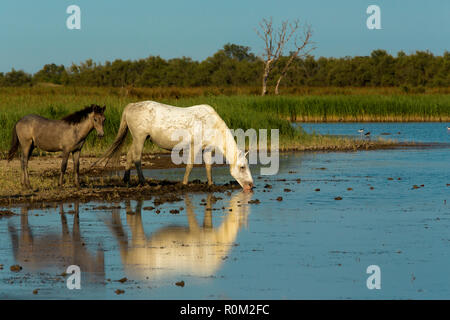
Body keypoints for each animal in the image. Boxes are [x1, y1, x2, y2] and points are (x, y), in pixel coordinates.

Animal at [96, 100, 253, 190]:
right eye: (242, 167)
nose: (251, 185)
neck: (210, 123)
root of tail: (131, 106)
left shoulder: (207, 149)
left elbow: (208, 167)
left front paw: (210, 184)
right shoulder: (195, 147)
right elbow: (189, 166)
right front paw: (184, 184)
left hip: (137, 139)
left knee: (129, 155)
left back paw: (127, 180)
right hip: (139, 138)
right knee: (137, 158)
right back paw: (143, 182)